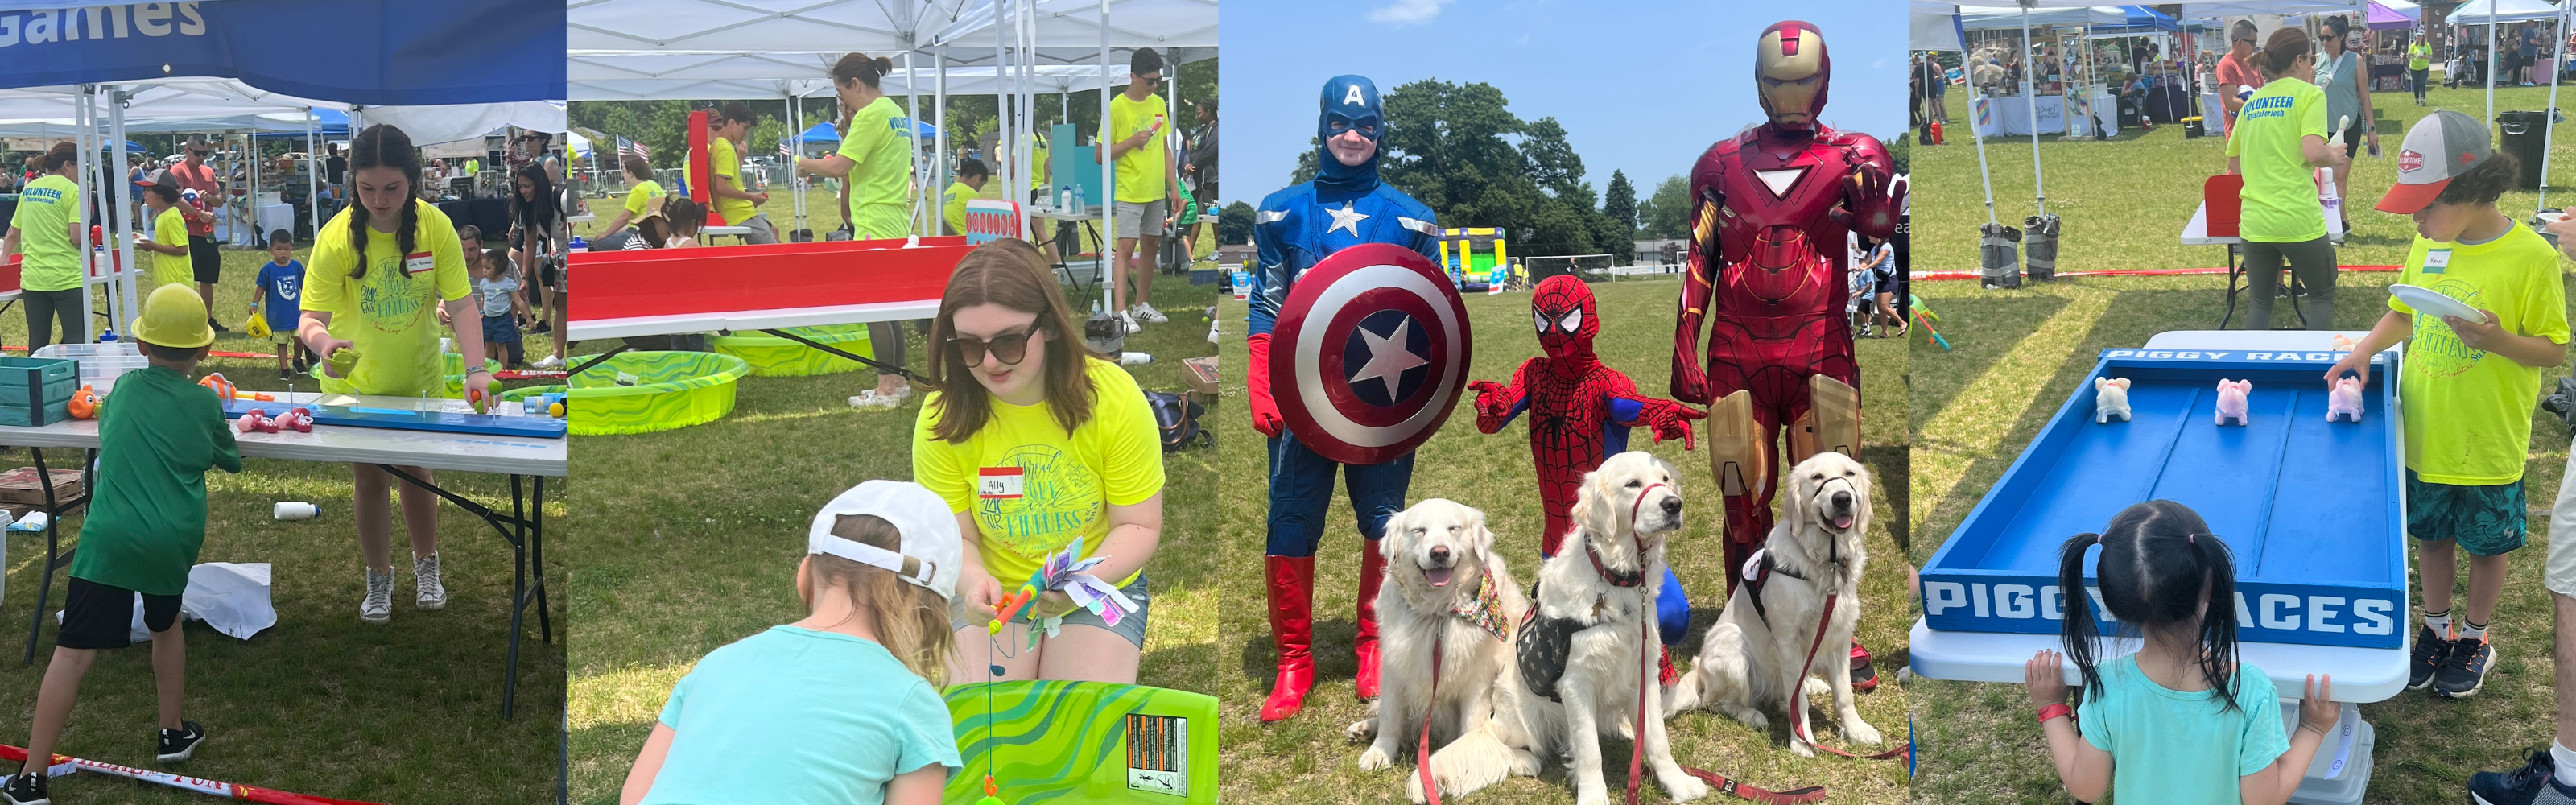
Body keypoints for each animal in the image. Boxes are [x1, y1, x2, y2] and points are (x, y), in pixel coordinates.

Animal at [1349, 497, 1525, 774]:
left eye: (1454, 528)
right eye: (1419, 530)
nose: (1439, 553)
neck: (1437, 613)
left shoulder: (1478, 678)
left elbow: (1471, 724)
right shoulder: (1395, 667)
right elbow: (1390, 715)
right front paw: (1379, 752)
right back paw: (1364, 728)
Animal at [1411, 454, 1710, 805]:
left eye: (1664, 479)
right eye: (1632, 484)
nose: (1673, 504)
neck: (1615, 577)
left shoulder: (1643, 670)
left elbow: (1656, 739)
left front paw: (1679, 783)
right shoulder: (1576, 683)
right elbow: (1590, 752)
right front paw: (1593, 797)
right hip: (1520, 715)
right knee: (1508, 745)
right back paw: (1525, 761)